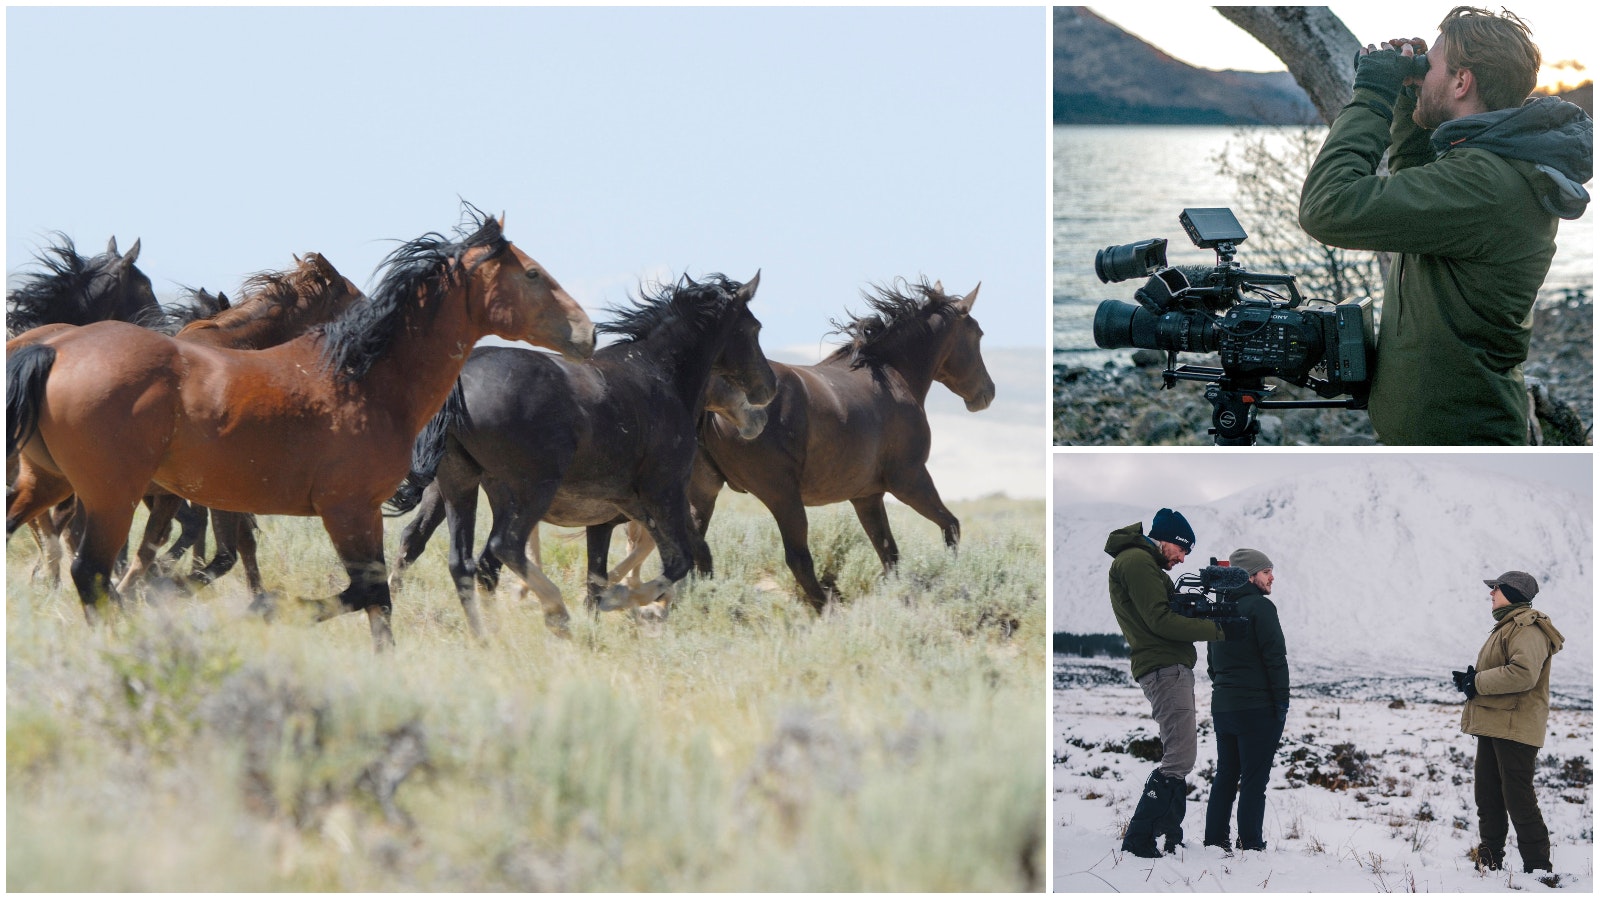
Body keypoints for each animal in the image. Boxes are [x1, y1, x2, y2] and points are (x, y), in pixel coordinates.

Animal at [6, 207, 595, 651]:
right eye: (533, 274)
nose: (587, 333)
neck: (364, 379)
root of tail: (53, 349)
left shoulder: (347, 513)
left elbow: (369, 597)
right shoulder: (347, 509)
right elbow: (365, 593)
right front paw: (265, 609)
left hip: (52, 482)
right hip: (112, 494)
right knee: (89, 572)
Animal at [385, 273, 776, 638]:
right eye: (754, 328)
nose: (768, 390)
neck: (659, 376)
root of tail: (459, 384)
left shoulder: (628, 509)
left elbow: (609, 573)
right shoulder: (665, 493)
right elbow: (676, 561)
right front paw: (621, 600)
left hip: (461, 484)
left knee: (462, 562)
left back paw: (486, 636)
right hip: (531, 488)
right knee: (502, 547)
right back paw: (555, 612)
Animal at [687, 278, 993, 610]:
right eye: (977, 333)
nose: (988, 392)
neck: (891, 375)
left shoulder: (867, 497)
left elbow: (890, 554)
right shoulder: (910, 479)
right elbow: (951, 526)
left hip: (704, 490)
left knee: (696, 551)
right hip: (782, 496)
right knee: (798, 559)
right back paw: (829, 609)